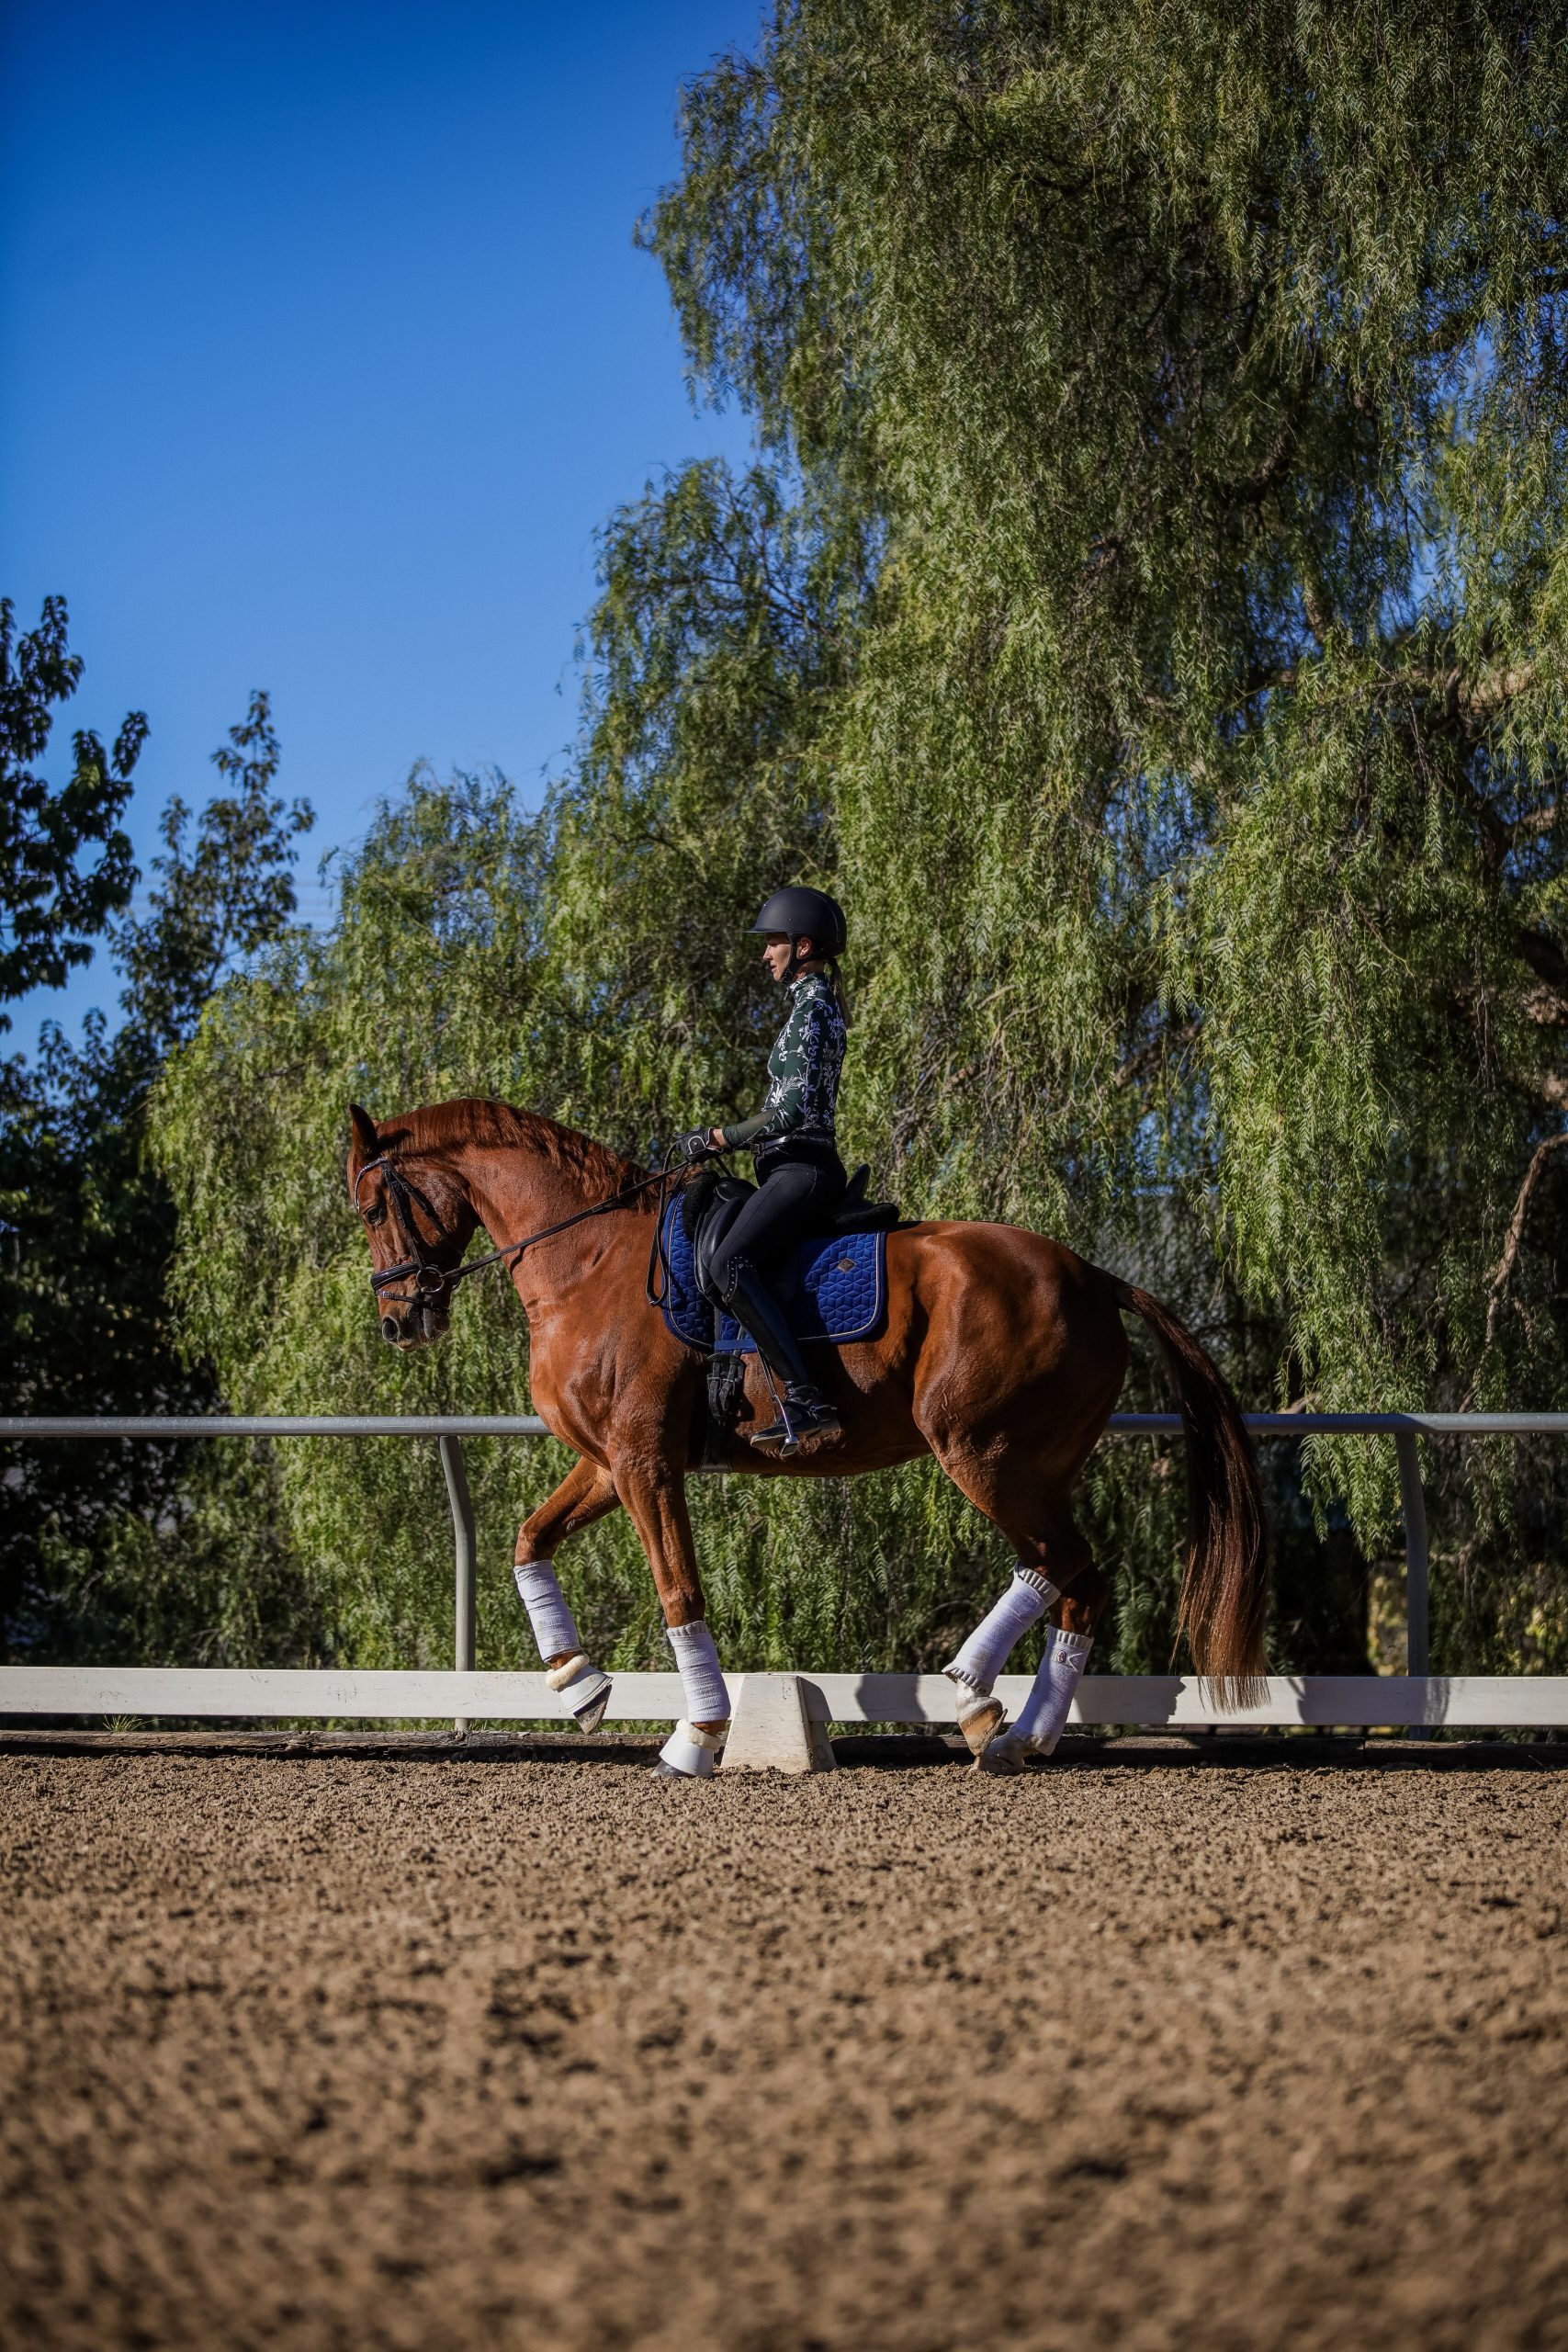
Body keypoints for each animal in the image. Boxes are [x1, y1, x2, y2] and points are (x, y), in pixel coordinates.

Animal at [346, 1096, 1268, 1773]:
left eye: (370, 1205)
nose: (399, 1322)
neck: (588, 1261)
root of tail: (1093, 1275)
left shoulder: (644, 1464)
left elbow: (679, 1592)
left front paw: (698, 1738)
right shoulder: (609, 1463)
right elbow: (526, 1542)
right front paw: (579, 1684)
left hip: (984, 1453)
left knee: (1060, 1563)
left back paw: (973, 1693)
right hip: (1031, 1465)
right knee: (1072, 1579)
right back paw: (1014, 1735)